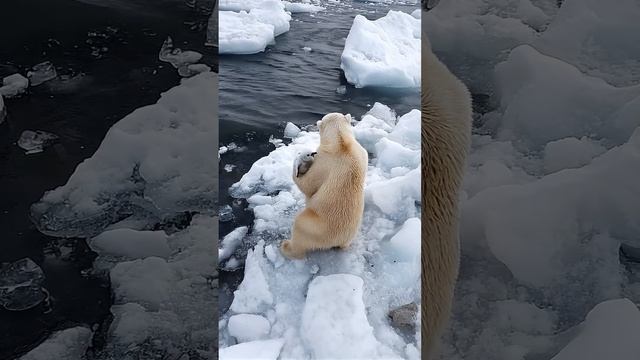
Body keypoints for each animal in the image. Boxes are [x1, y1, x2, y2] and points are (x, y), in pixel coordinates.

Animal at [282, 112, 368, 258]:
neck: (342, 143)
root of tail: (338, 239)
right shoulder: (363, 153)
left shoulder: (323, 161)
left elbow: (308, 185)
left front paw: (299, 160)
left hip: (316, 227)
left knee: (300, 227)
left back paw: (286, 246)